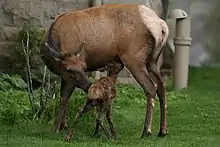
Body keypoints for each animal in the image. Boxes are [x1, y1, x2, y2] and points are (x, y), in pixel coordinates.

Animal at [40, 2, 169, 137]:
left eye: (84, 66)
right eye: (69, 69)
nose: (88, 85)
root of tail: (161, 25)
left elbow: (64, 97)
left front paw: (56, 128)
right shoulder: (66, 73)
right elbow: (64, 96)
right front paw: (62, 126)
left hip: (134, 57)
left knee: (151, 86)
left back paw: (146, 131)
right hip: (152, 60)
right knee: (162, 85)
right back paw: (162, 130)